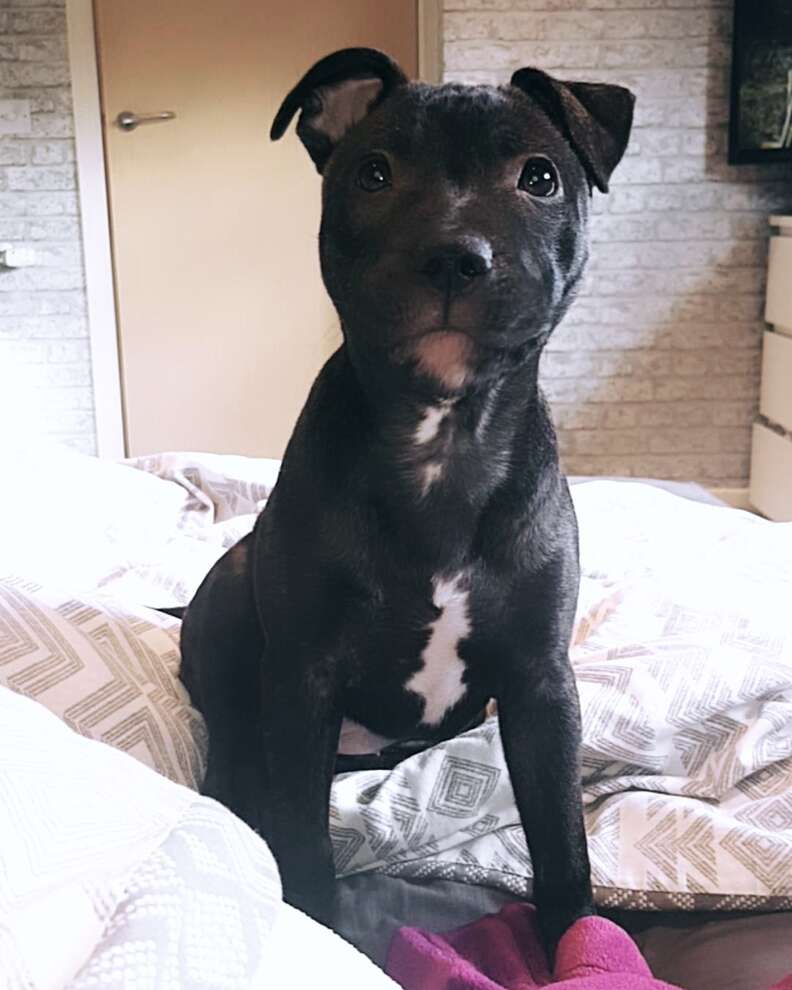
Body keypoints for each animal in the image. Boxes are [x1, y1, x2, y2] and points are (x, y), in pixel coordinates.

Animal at [178, 50, 632, 956]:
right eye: (374, 174)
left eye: (540, 177)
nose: (455, 255)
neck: (443, 444)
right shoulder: (304, 678)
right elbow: (302, 833)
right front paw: (314, 931)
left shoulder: (540, 685)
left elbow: (561, 836)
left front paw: (577, 941)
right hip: (232, 600)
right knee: (235, 749)